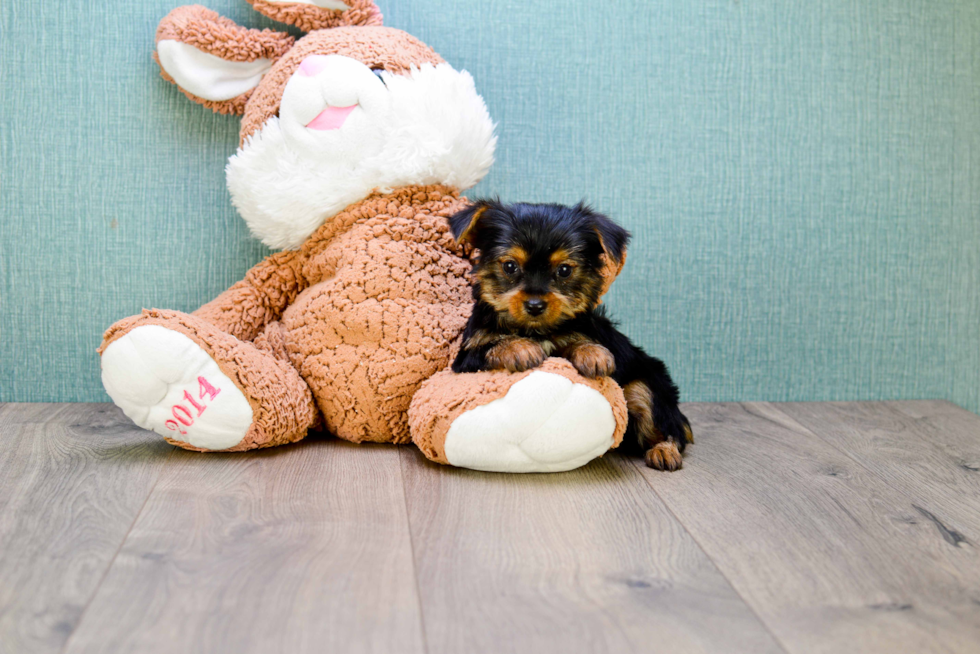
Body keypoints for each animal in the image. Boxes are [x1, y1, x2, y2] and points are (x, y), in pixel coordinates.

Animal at [448, 200, 692, 472]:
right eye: (510, 266)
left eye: (564, 270)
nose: (535, 305)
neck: (535, 330)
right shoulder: (468, 354)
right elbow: (495, 343)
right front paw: (519, 348)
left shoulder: (582, 332)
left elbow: (577, 341)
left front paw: (593, 354)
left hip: (647, 385)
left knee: (669, 427)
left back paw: (664, 451)